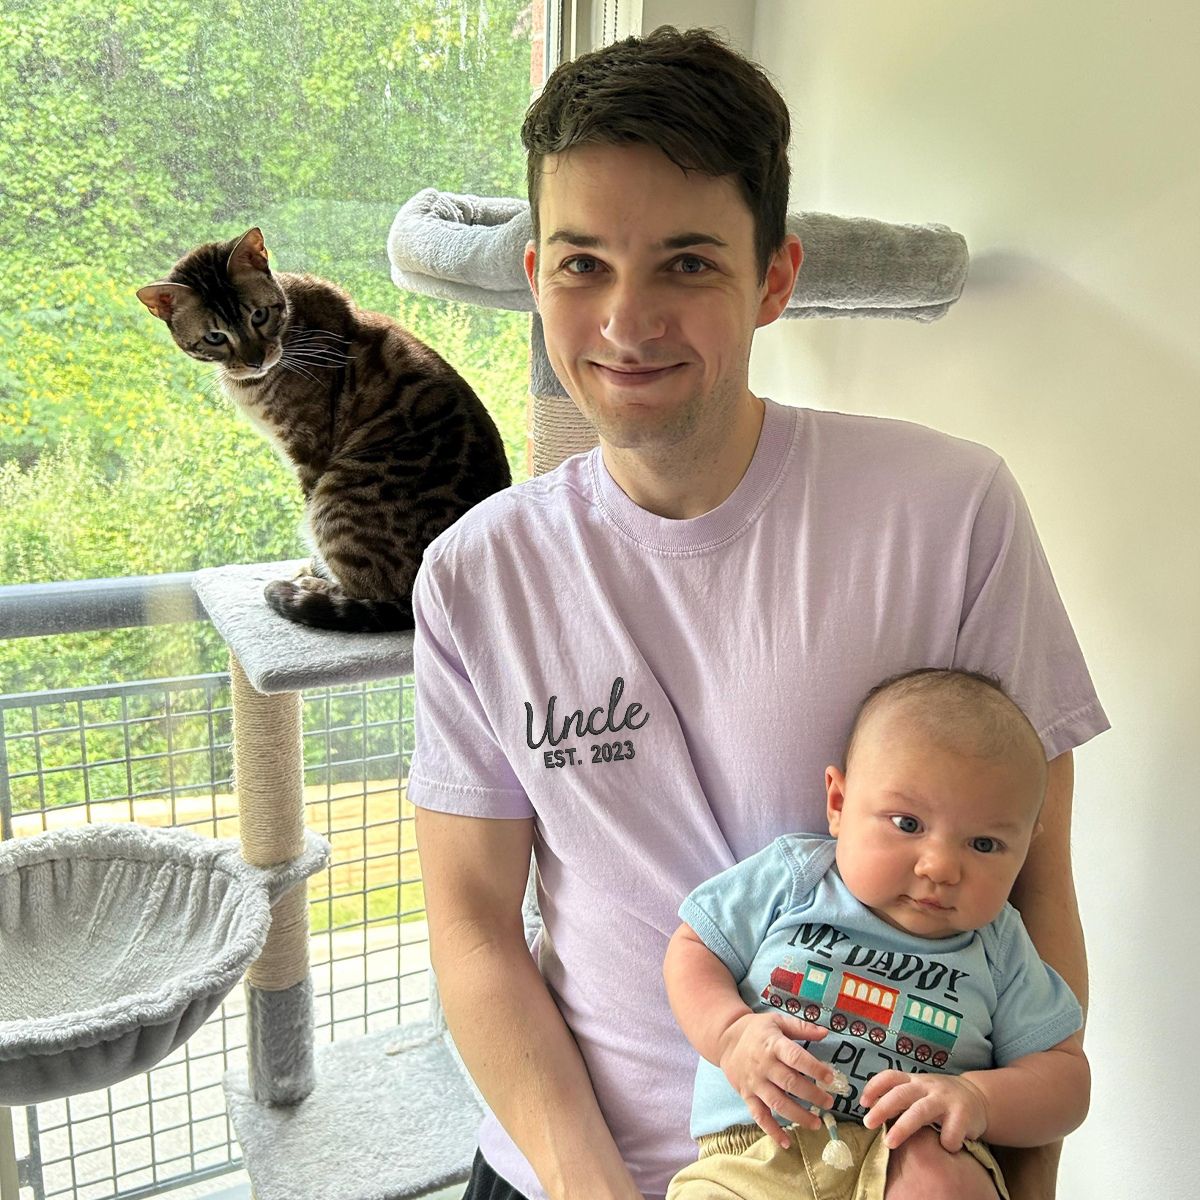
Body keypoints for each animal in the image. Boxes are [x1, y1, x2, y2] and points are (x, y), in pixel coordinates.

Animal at [138, 228, 513, 633]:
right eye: (214, 337)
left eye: (259, 315)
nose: (256, 360)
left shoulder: (308, 452)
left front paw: (313, 572)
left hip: (335, 497)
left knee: (371, 588)